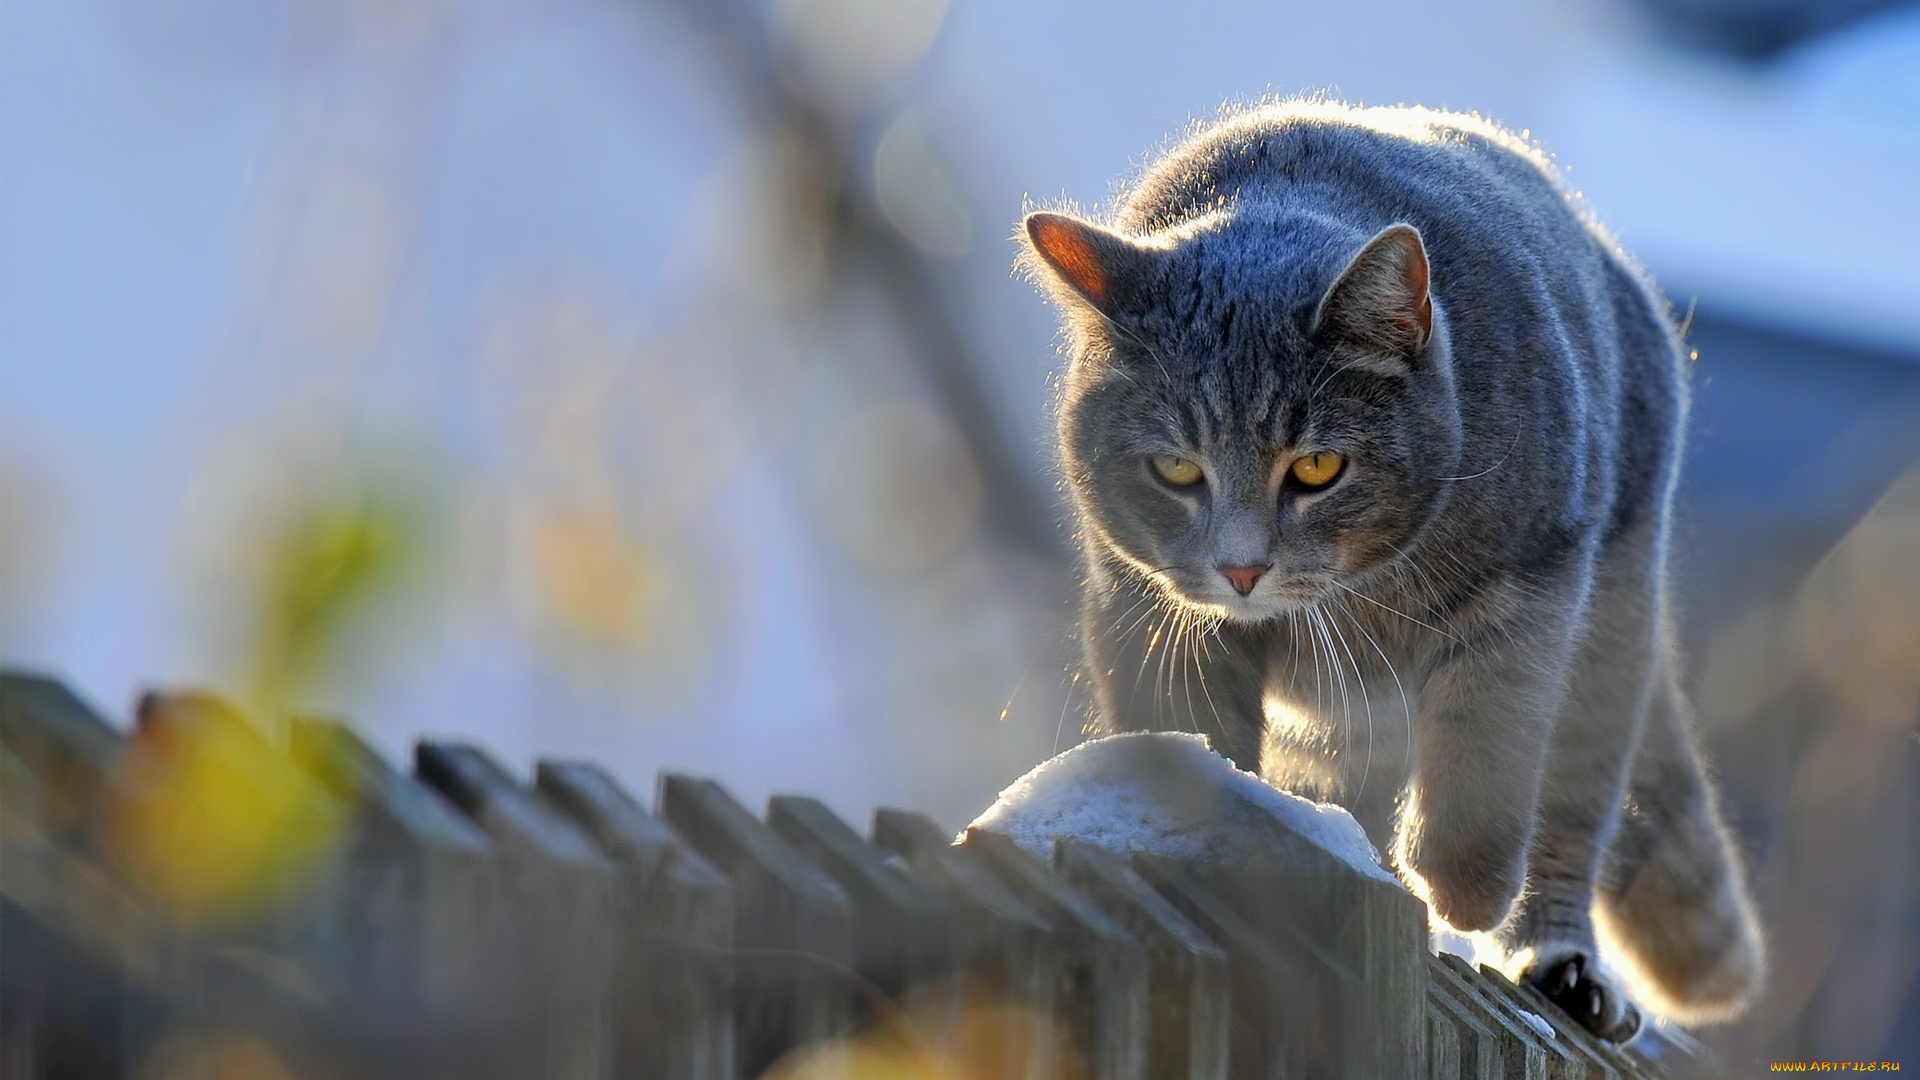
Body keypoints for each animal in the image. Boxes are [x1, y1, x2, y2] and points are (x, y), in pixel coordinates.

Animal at [1029, 98, 1758, 1037]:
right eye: (1176, 470)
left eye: (1316, 468)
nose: (1241, 569)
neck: (1359, 595)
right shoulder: (1149, 614)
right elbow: (1196, 737)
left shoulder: (1531, 588)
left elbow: (1485, 758)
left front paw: (1463, 890)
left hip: (1612, 632)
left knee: (1569, 814)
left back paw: (1559, 966)